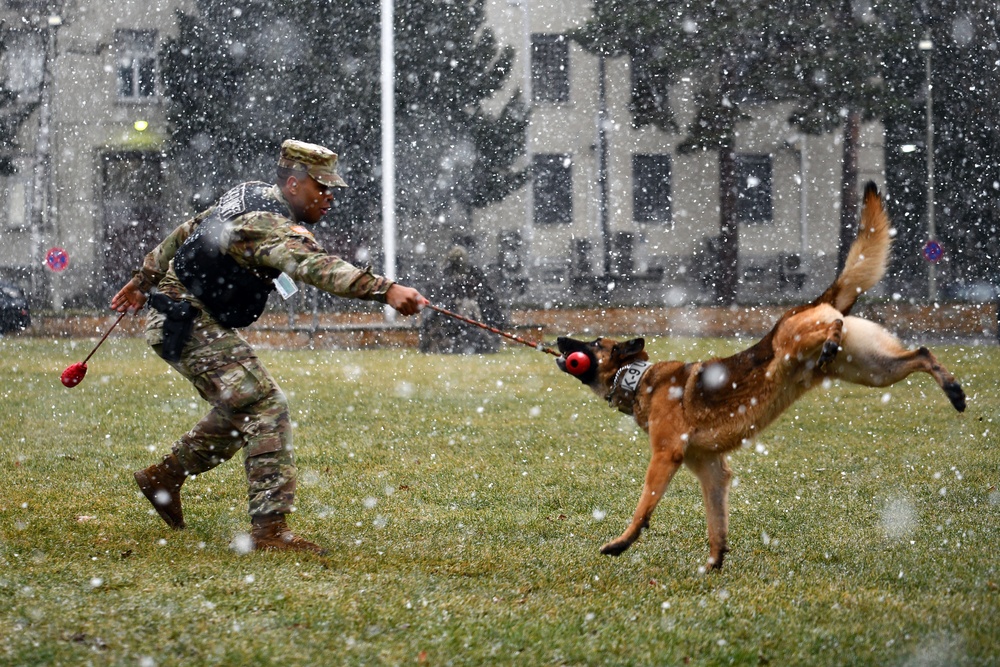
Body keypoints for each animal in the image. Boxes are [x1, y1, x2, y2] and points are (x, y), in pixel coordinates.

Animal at [560, 183, 964, 568]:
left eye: (593, 342)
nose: (560, 340)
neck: (640, 378)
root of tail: (815, 301)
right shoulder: (710, 470)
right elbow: (716, 523)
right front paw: (714, 565)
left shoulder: (665, 456)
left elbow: (644, 506)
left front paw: (621, 543)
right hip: (873, 371)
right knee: (922, 353)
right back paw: (953, 389)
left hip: (790, 342)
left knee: (833, 324)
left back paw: (834, 338)